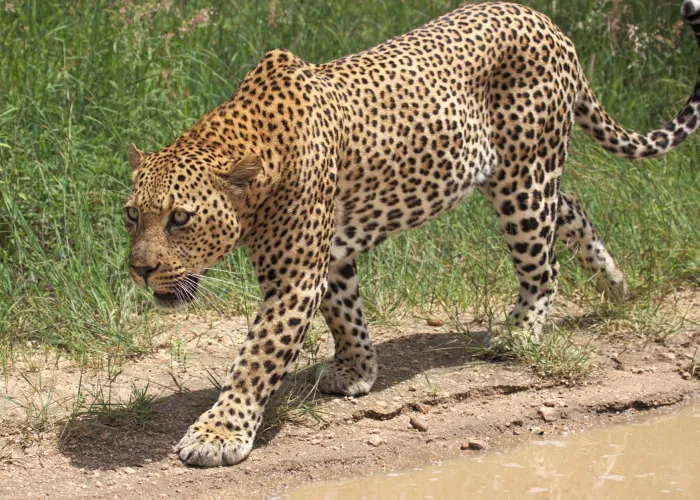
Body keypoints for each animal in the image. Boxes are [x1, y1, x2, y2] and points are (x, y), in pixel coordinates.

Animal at [124, 0, 700, 467]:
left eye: (180, 218)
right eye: (132, 214)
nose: (139, 269)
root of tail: (549, 23)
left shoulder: (294, 277)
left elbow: (257, 358)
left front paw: (218, 434)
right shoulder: (329, 257)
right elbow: (345, 314)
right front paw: (356, 371)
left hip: (524, 179)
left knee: (545, 262)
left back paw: (520, 331)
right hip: (521, 177)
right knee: (573, 207)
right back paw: (616, 287)